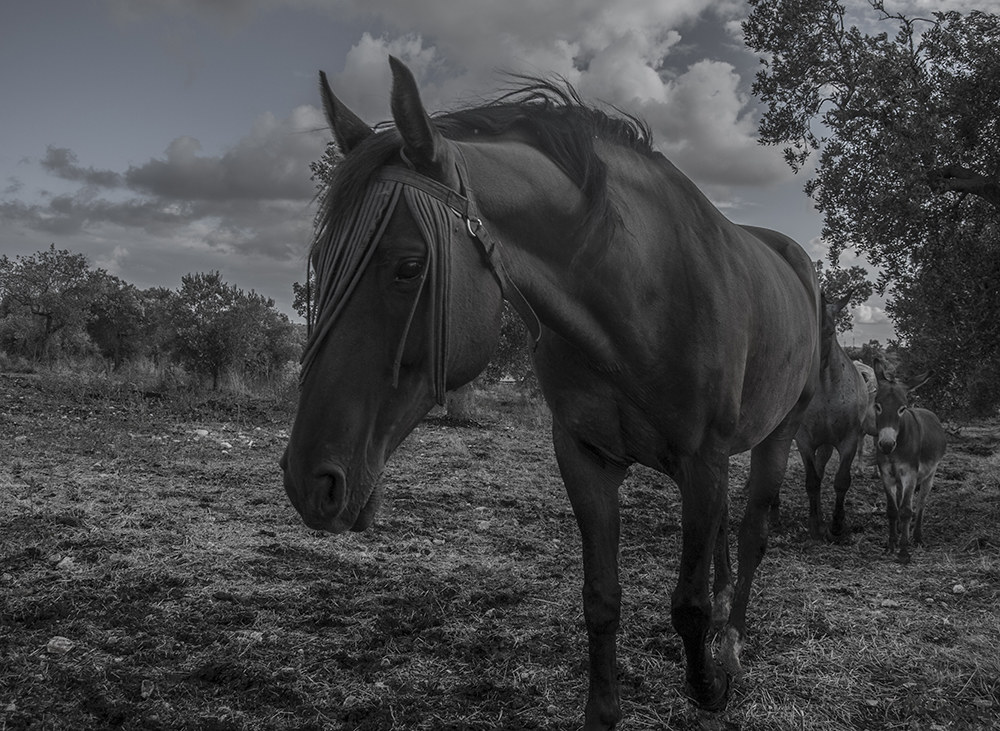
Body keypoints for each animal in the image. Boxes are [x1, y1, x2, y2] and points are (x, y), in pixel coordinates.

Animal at [280, 56, 820, 729]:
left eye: (408, 266)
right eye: (320, 261)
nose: (309, 481)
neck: (642, 293)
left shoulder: (701, 461)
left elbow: (689, 603)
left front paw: (709, 684)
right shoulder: (586, 457)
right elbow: (601, 598)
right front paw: (604, 710)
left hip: (778, 435)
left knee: (749, 539)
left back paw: (733, 650)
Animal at [793, 291, 870, 540]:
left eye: (829, 332)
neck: (827, 390)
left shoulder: (849, 440)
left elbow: (841, 480)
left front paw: (837, 524)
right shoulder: (804, 441)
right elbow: (812, 481)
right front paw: (815, 525)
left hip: (827, 443)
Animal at [872, 359, 947, 562]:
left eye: (902, 409)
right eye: (877, 406)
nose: (886, 445)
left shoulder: (910, 474)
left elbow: (907, 510)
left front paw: (904, 551)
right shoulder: (886, 474)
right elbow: (892, 509)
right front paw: (891, 545)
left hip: (929, 475)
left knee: (920, 504)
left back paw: (917, 537)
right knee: (900, 500)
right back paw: (899, 531)